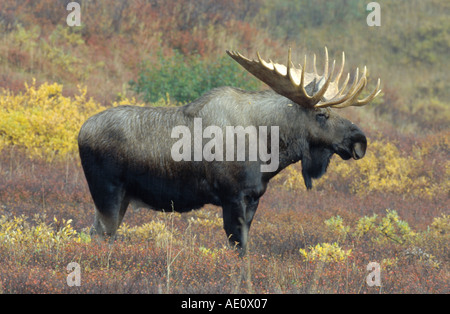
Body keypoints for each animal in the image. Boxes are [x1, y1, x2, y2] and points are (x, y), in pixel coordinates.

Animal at [78, 48, 380, 255]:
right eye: (322, 114)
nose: (359, 141)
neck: (269, 148)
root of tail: (80, 133)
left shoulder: (254, 197)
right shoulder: (232, 195)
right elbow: (239, 247)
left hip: (120, 197)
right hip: (107, 191)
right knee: (101, 233)